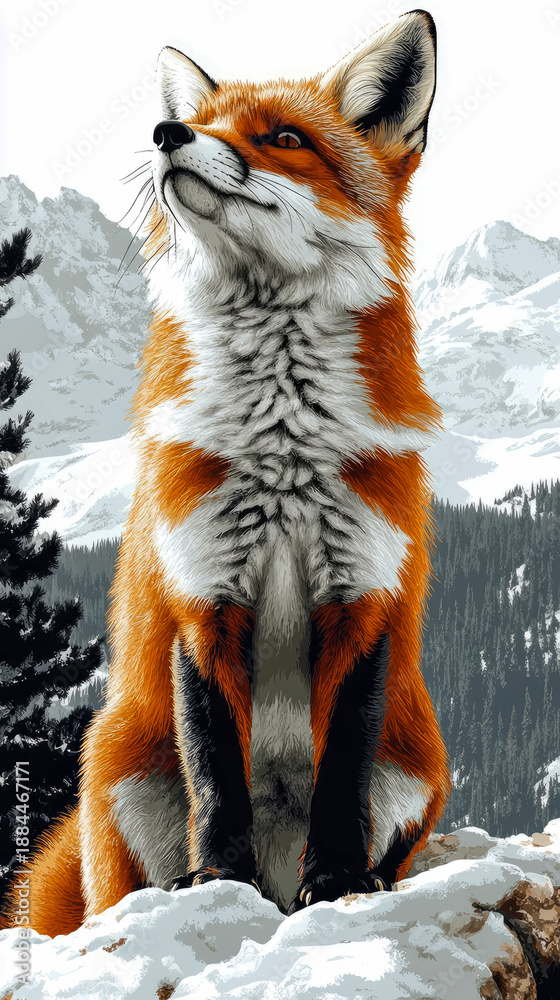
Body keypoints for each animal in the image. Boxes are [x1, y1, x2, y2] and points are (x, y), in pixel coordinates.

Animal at [3, 8, 450, 936]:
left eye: (283, 139)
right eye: (203, 124)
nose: (166, 134)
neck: (280, 453)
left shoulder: (366, 590)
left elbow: (340, 771)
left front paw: (341, 883)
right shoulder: (201, 589)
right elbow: (216, 770)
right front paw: (215, 882)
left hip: (415, 769)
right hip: (122, 780)